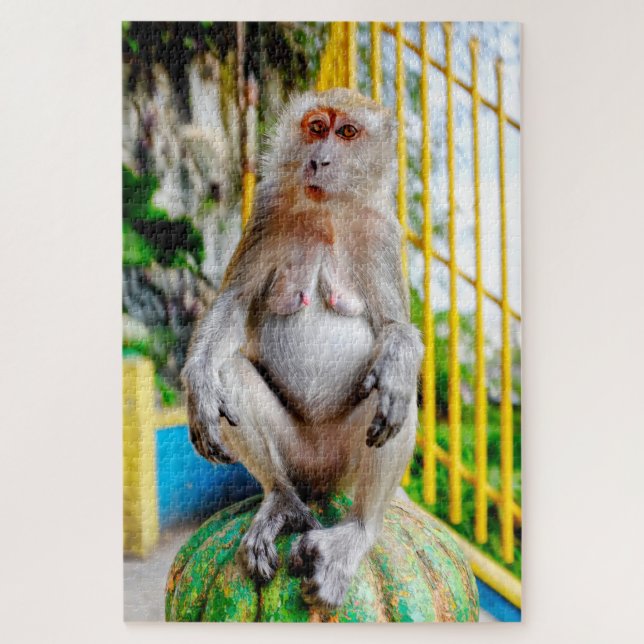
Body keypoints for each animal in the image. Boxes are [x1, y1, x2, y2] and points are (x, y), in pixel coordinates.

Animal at [182, 87, 423, 609]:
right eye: (316, 128)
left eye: (347, 132)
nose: (319, 160)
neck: (326, 213)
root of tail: (318, 482)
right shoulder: (267, 211)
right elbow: (233, 304)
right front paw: (198, 385)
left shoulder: (383, 233)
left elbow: (396, 331)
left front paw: (397, 355)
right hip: (296, 456)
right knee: (231, 374)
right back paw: (282, 502)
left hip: (342, 464)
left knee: (394, 396)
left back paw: (355, 533)